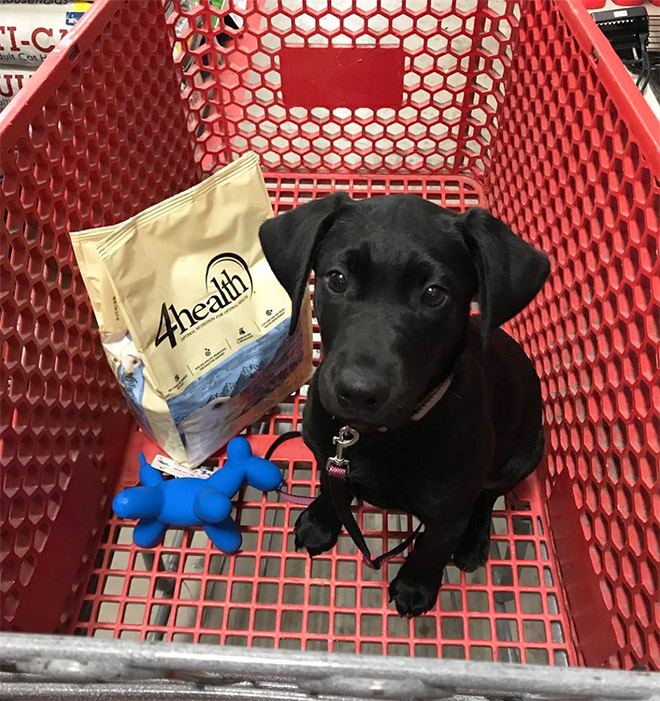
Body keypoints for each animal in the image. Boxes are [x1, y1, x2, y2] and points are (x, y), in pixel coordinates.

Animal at [260, 191, 548, 612]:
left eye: (434, 294)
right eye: (337, 278)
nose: (358, 392)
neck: (379, 435)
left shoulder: (448, 510)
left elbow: (432, 546)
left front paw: (416, 586)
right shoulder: (328, 455)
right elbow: (331, 489)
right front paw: (320, 521)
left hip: (523, 455)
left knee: (487, 497)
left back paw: (474, 541)